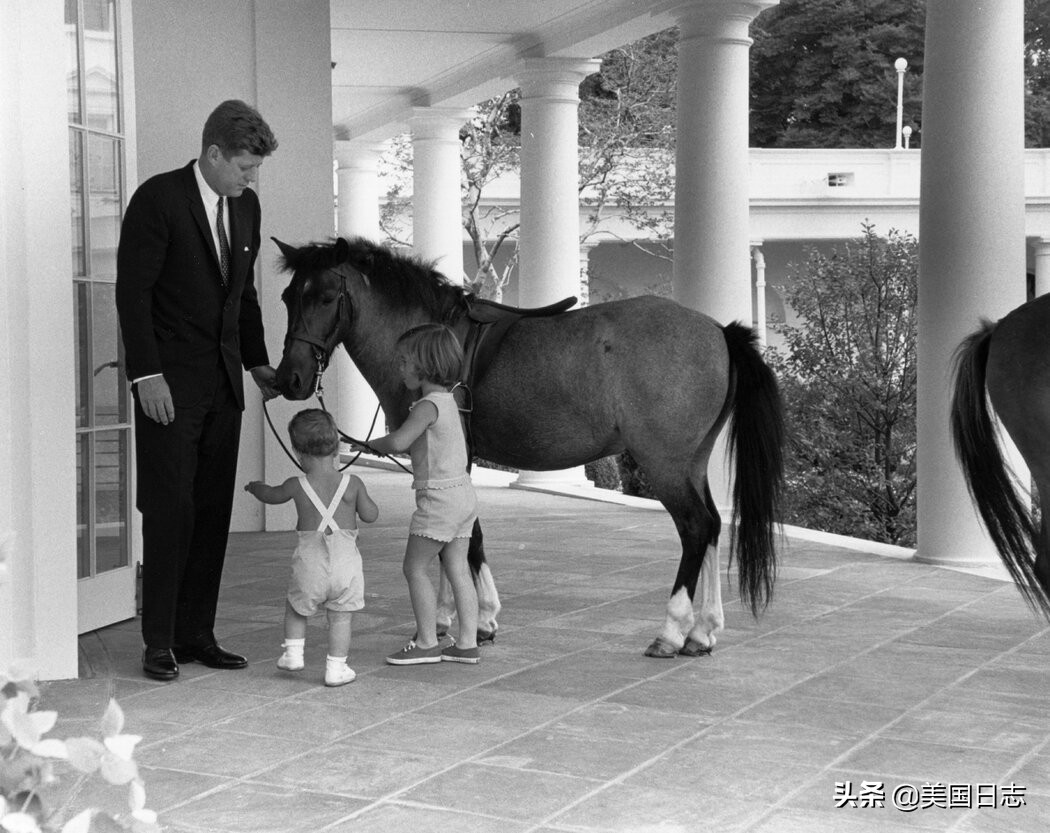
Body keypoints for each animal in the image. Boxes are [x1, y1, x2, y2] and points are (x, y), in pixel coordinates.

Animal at [275, 235, 785, 655]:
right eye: (287, 297)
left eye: (325, 296)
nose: (290, 378)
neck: (432, 337)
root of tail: (719, 332)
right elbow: (450, 535)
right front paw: (448, 617)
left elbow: (463, 536)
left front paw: (477, 620)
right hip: (692, 462)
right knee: (715, 525)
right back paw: (703, 631)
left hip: (664, 463)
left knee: (696, 527)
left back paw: (672, 631)